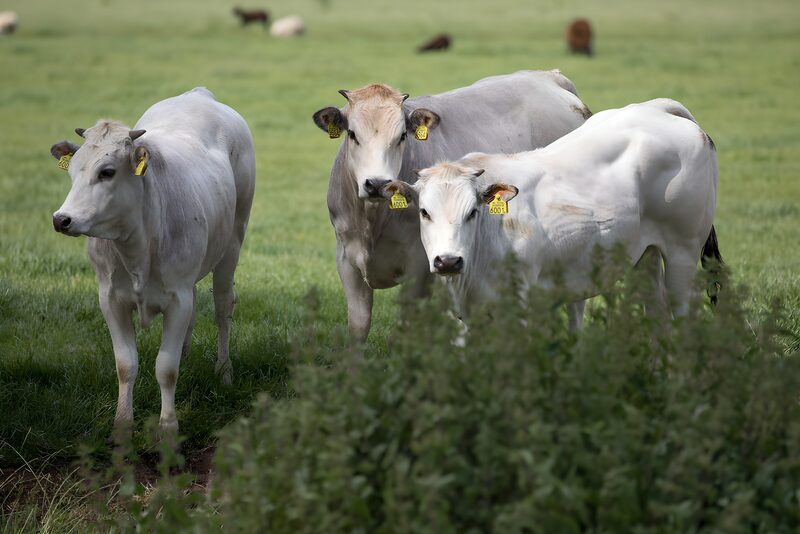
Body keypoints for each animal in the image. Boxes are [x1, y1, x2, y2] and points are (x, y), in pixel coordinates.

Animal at [49, 87, 256, 434]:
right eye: (74, 171)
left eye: (107, 172)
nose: (62, 219)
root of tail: (199, 94)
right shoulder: (110, 299)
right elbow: (126, 364)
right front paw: (122, 424)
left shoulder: (178, 299)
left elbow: (165, 368)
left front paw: (168, 426)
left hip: (232, 244)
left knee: (222, 307)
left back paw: (224, 371)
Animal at [312, 70, 591, 342]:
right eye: (352, 134)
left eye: (401, 136)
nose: (377, 183)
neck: (373, 222)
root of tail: (550, 76)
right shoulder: (347, 262)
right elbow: (358, 328)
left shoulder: (419, 271)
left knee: (576, 302)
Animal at [373, 99, 721, 328]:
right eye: (424, 212)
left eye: (472, 212)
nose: (447, 261)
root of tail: (657, 109)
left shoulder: (521, 307)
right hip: (644, 256)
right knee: (657, 312)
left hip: (683, 254)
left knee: (684, 313)